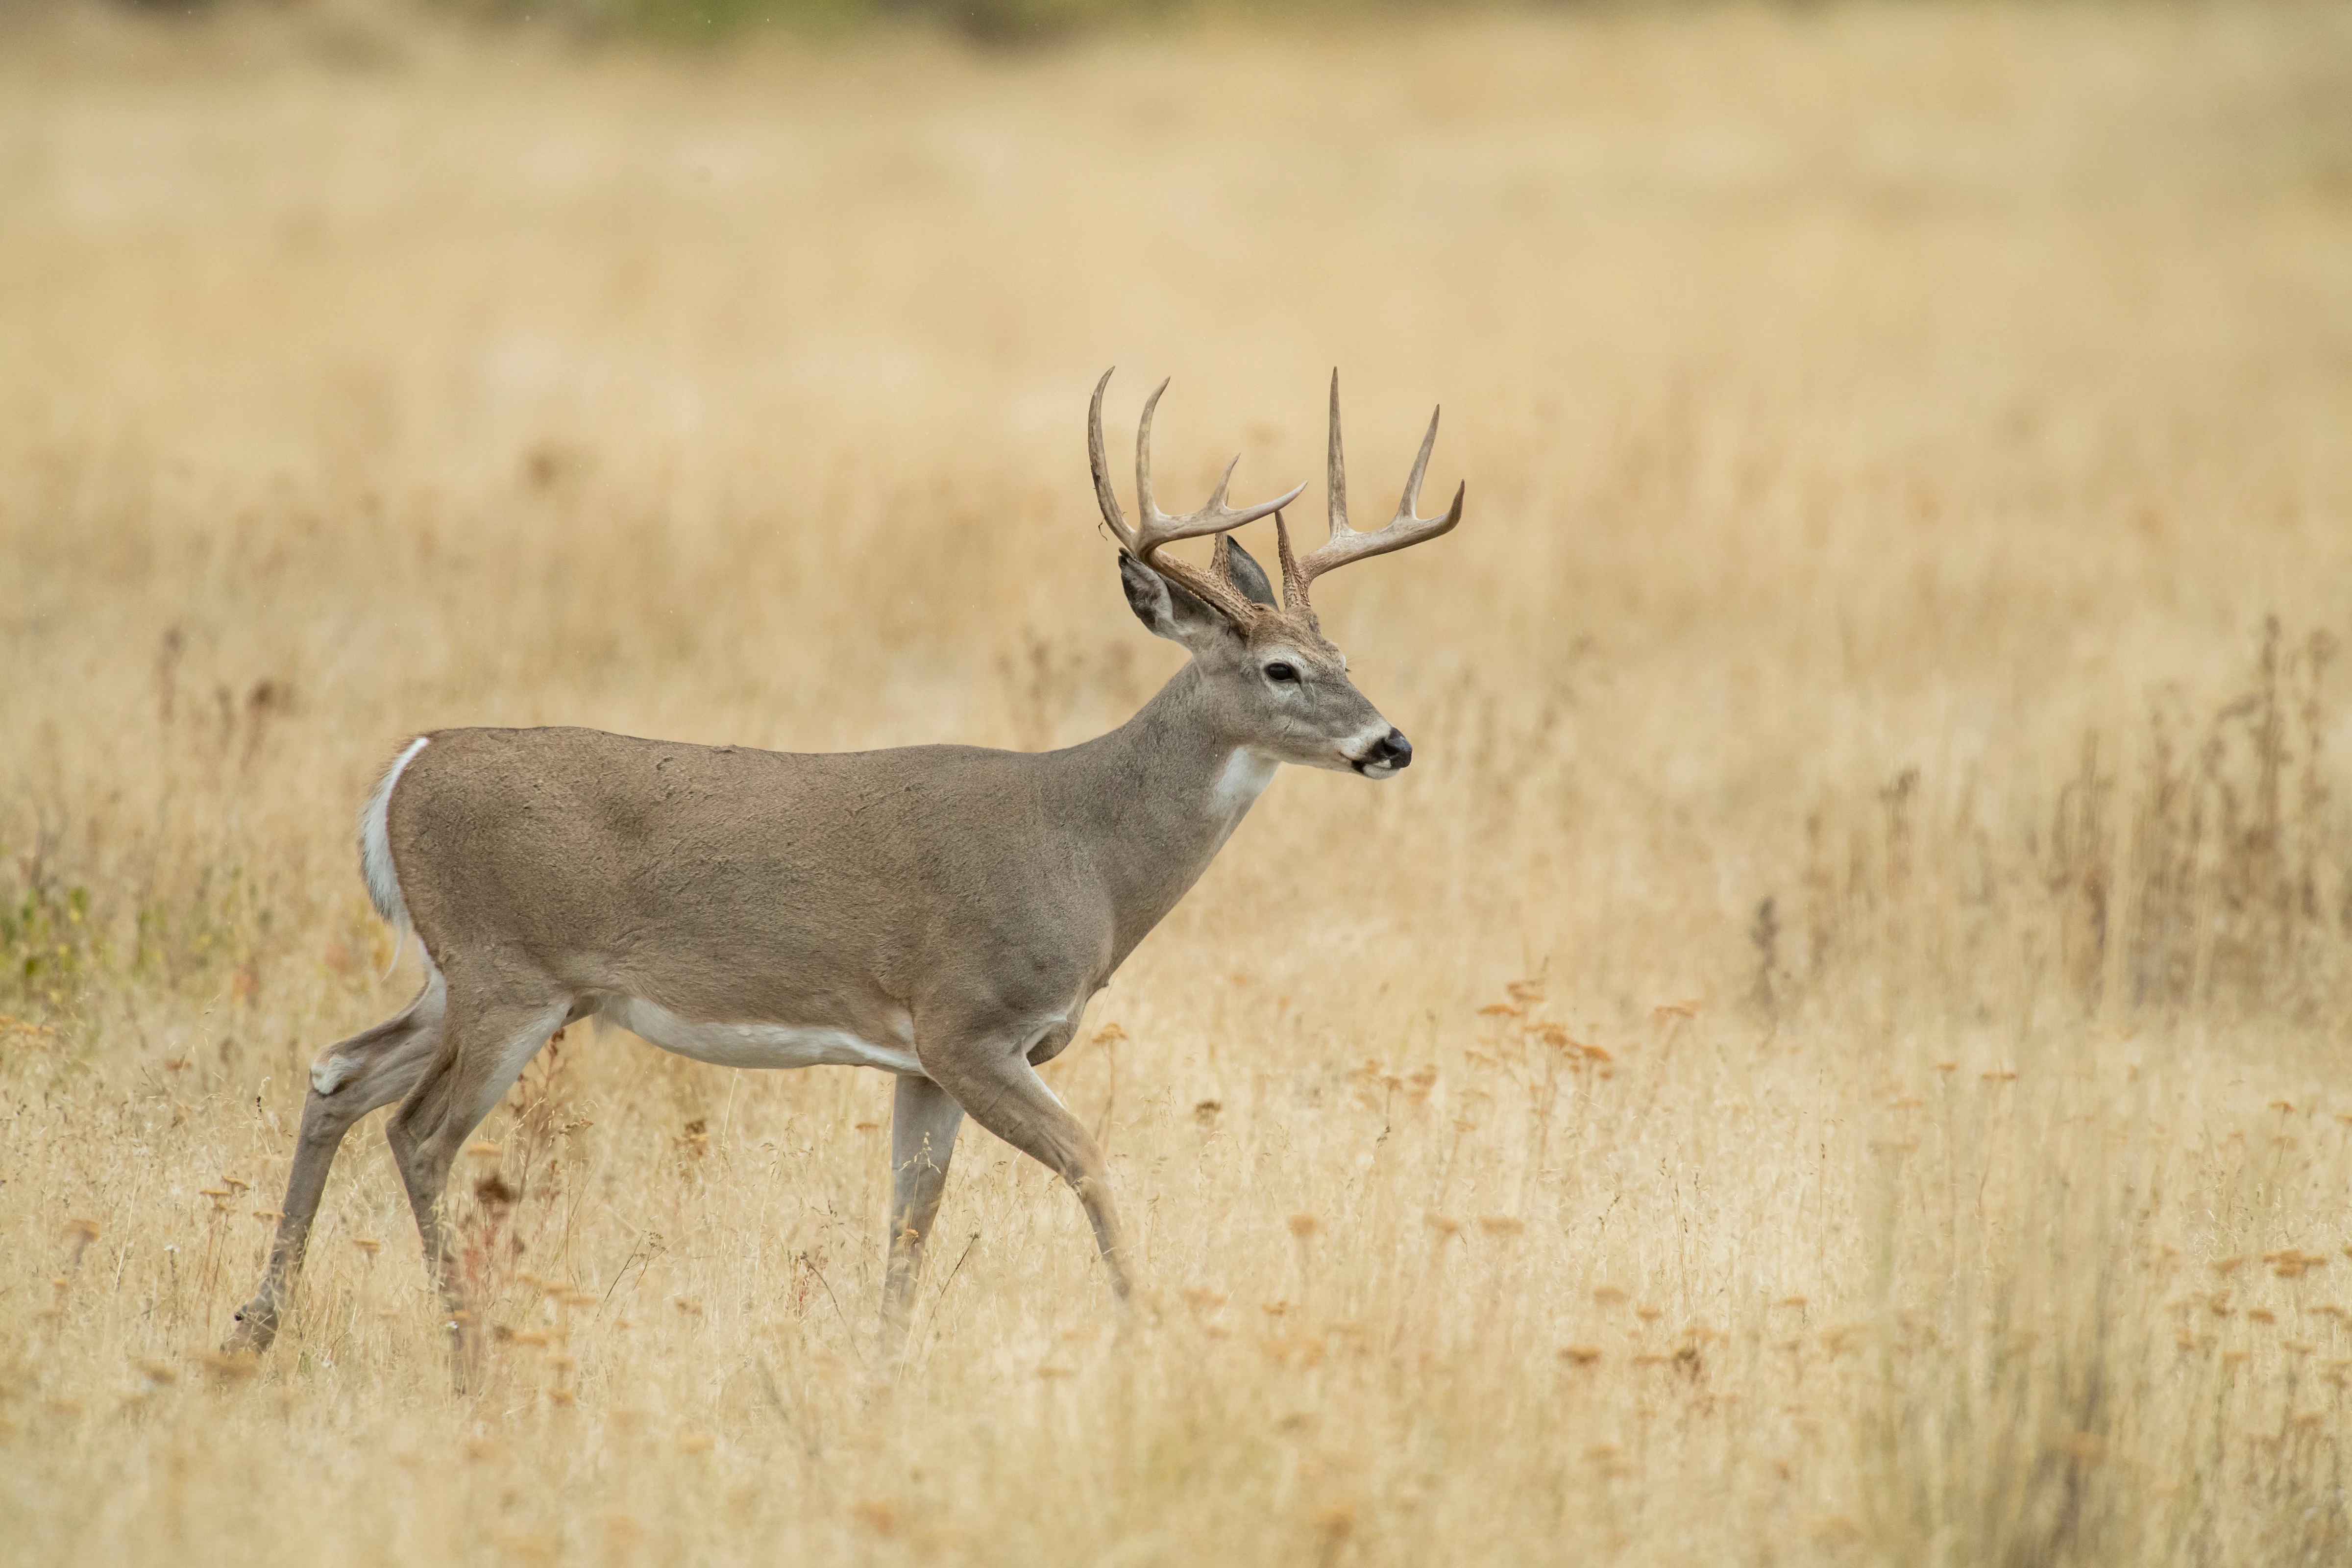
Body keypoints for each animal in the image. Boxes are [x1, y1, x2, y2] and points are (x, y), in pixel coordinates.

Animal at [229, 373, 1458, 1363]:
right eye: (1281, 669)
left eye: (1345, 656)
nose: (1392, 742)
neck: (1089, 851)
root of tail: (410, 764)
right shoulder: (971, 1020)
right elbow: (1089, 1160)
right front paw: (1141, 1328)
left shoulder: (923, 1059)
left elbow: (911, 1213)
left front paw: (882, 1366)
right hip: (507, 974)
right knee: (419, 1132)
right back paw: (464, 1347)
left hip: (465, 977)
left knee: (338, 1074)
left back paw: (258, 1322)